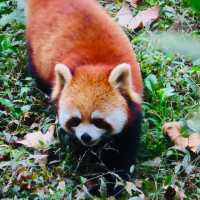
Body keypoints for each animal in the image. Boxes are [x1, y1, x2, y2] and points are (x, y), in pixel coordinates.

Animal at [26, 0, 143, 197]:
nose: (86, 137)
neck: (94, 66)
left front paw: (116, 182)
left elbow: (125, 149)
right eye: (75, 120)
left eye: (98, 121)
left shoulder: (132, 108)